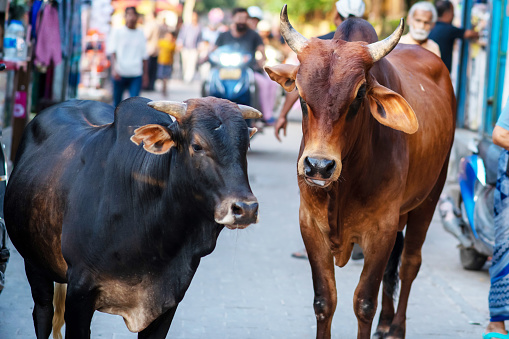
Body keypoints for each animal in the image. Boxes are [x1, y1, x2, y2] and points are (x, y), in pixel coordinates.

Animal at [5, 97, 262, 338]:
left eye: (246, 146)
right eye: (197, 146)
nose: (246, 208)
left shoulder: (169, 299)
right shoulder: (79, 293)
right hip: (35, 263)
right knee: (43, 314)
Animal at [264, 5, 454, 339]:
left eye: (360, 94)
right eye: (299, 92)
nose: (319, 166)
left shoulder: (381, 230)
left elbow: (364, 302)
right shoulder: (310, 225)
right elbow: (324, 300)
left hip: (430, 197)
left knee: (409, 263)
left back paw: (396, 327)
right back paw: (386, 322)